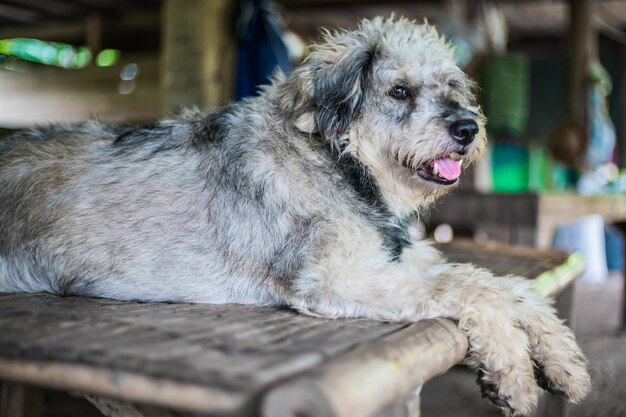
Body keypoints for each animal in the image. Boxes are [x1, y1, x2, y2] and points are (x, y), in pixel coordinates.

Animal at [0, 17, 588, 416]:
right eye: (399, 91)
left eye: (450, 87)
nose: (468, 128)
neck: (336, 159)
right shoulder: (337, 278)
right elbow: (473, 286)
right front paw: (513, 372)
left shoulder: (397, 258)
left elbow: (504, 282)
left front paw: (562, 359)